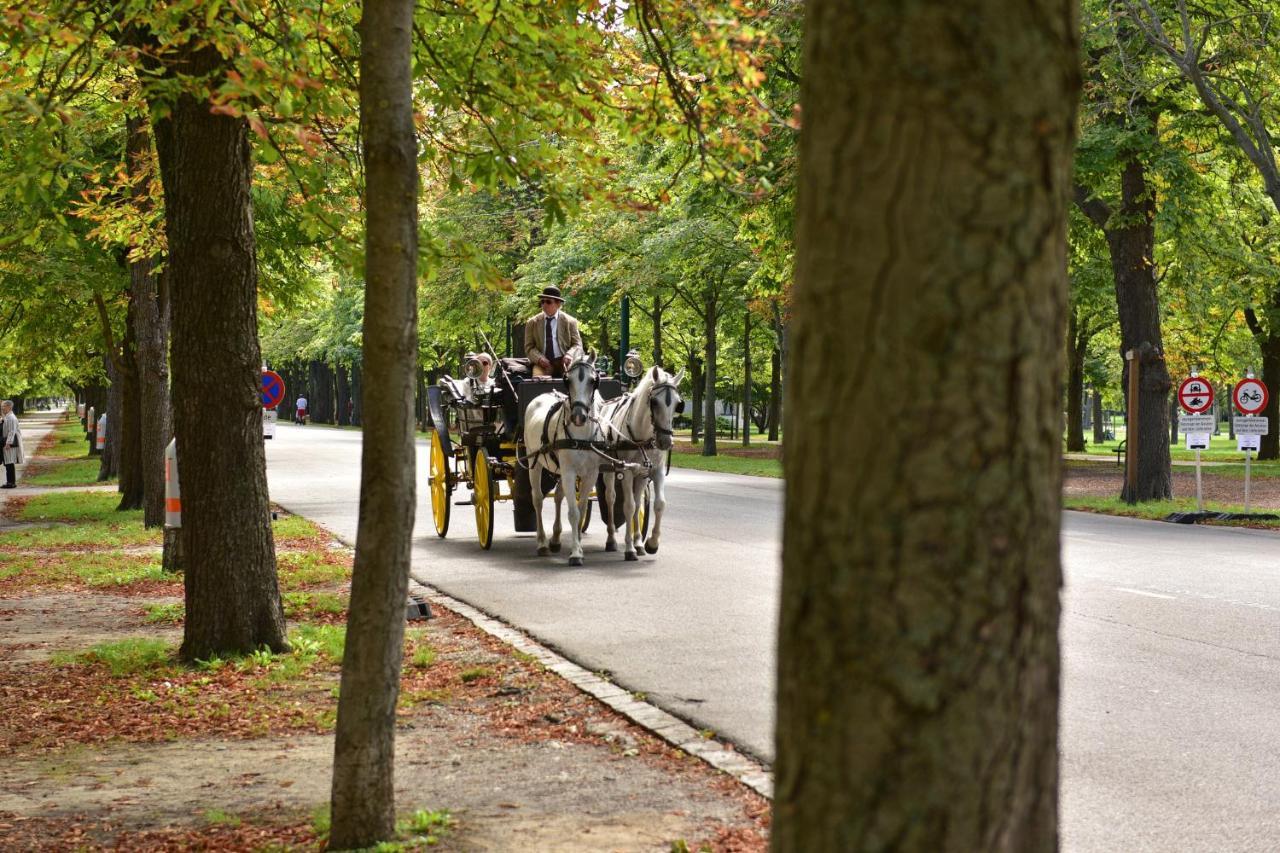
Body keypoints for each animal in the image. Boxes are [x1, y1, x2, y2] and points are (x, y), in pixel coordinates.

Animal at [519, 350, 604, 563]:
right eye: (568, 380)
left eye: (593, 381)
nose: (579, 416)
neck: (581, 436)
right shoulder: (569, 471)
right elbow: (573, 512)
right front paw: (575, 553)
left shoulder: (591, 474)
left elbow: (581, 508)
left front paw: (578, 544)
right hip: (535, 463)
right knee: (538, 499)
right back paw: (542, 543)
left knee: (558, 496)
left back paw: (556, 538)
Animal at [596, 363, 680, 558]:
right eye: (654, 402)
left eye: (677, 404)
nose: (666, 442)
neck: (642, 436)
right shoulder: (626, 472)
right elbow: (628, 506)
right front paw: (629, 548)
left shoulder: (653, 471)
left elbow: (658, 504)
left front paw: (650, 543)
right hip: (610, 470)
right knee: (611, 498)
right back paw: (611, 539)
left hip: (640, 476)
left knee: (637, 501)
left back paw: (638, 543)